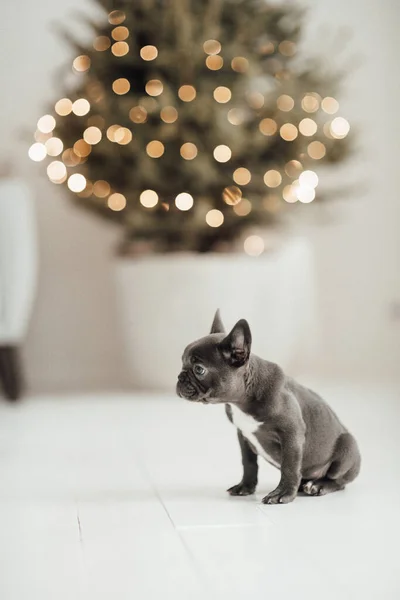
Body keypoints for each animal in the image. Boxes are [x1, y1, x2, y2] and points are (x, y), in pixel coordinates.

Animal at [177, 312, 360, 504]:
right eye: (182, 363)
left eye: (199, 369)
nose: (180, 377)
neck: (243, 399)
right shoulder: (243, 435)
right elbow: (248, 463)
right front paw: (245, 487)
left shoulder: (291, 434)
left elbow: (289, 466)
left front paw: (283, 493)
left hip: (347, 448)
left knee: (339, 480)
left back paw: (318, 485)